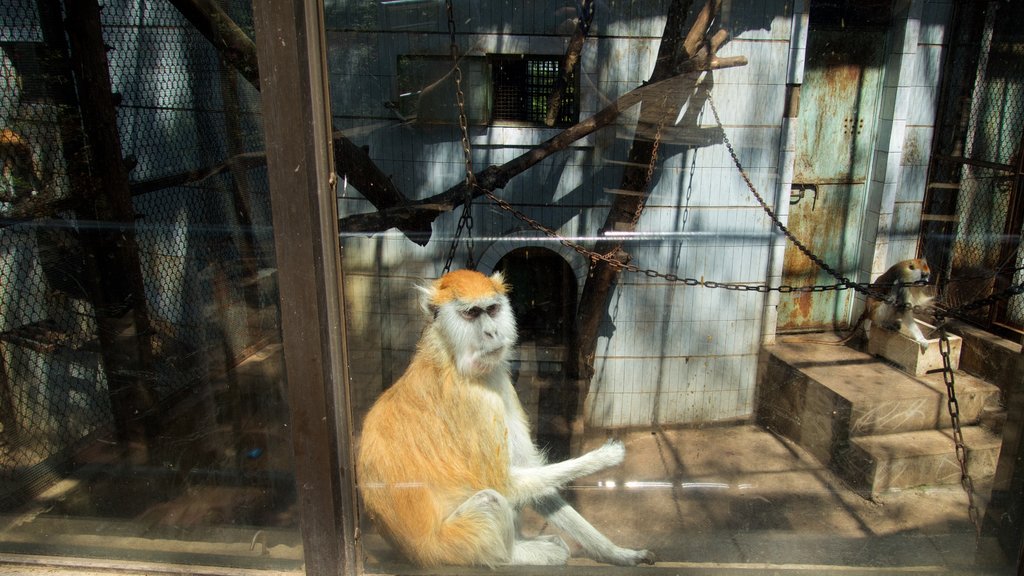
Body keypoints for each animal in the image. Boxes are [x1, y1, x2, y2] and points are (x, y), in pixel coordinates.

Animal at [356, 268, 651, 565]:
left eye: (492, 309)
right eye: (472, 313)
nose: (492, 332)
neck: (449, 356)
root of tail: (413, 553)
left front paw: (617, 552)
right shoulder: (477, 403)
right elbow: (504, 485)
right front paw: (606, 457)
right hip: (452, 545)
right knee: (490, 499)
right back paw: (522, 553)